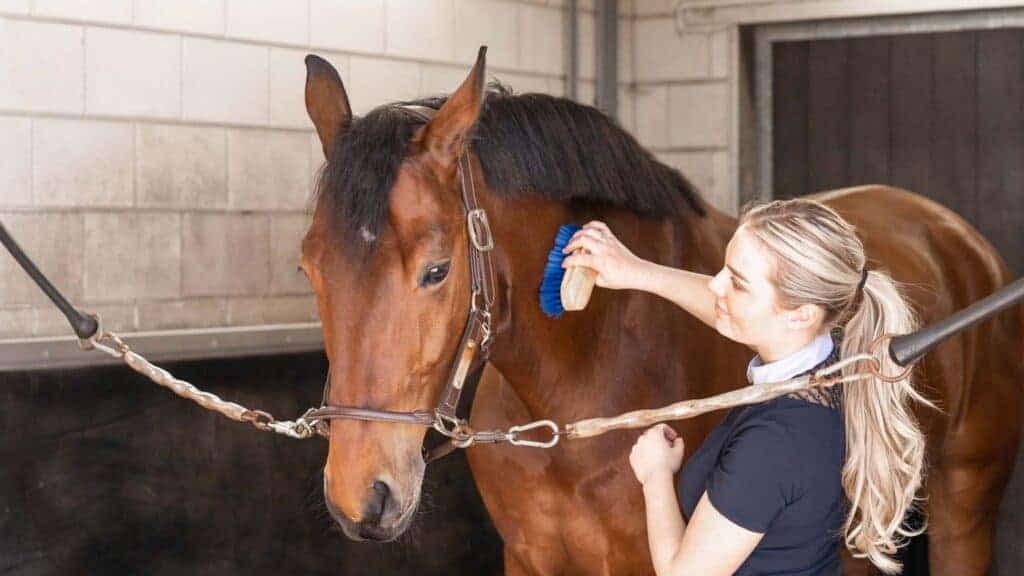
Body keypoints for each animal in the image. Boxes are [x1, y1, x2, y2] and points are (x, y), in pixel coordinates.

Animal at [298, 48, 1023, 575]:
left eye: (436, 270)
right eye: (309, 269)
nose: (362, 497)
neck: (589, 371)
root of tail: (957, 237)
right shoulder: (531, 561)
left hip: (964, 508)